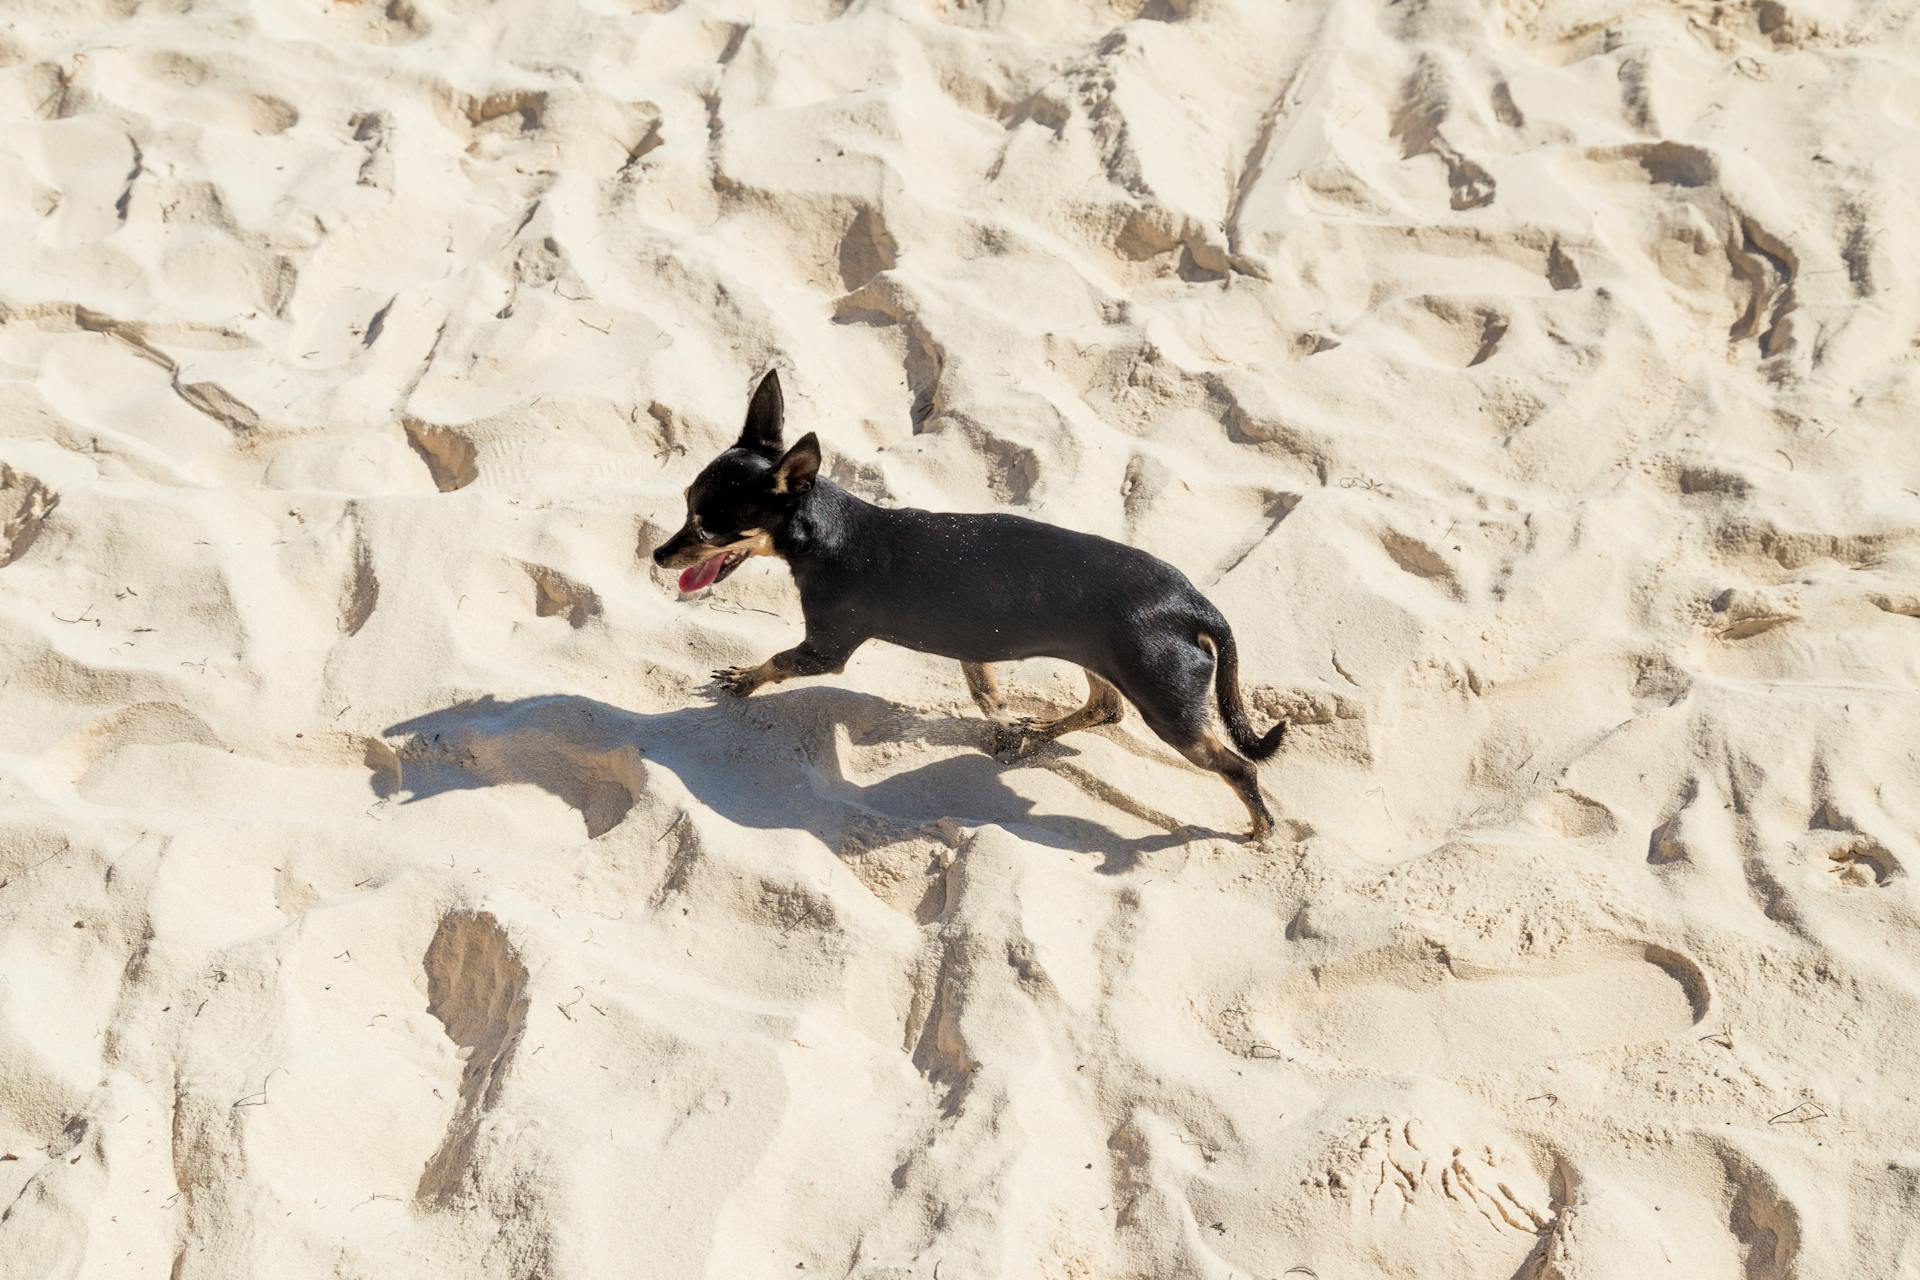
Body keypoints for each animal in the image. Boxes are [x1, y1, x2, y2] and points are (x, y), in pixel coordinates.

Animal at [648, 370, 1290, 840]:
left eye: (709, 530)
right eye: (685, 504)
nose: (657, 554)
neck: (833, 531)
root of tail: (1195, 606)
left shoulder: (824, 650)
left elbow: (778, 661)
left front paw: (742, 681)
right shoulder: (973, 643)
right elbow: (986, 693)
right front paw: (1004, 728)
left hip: (1168, 706)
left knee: (1239, 767)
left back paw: (1259, 829)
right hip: (1105, 659)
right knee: (1106, 708)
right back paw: (1043, 730)